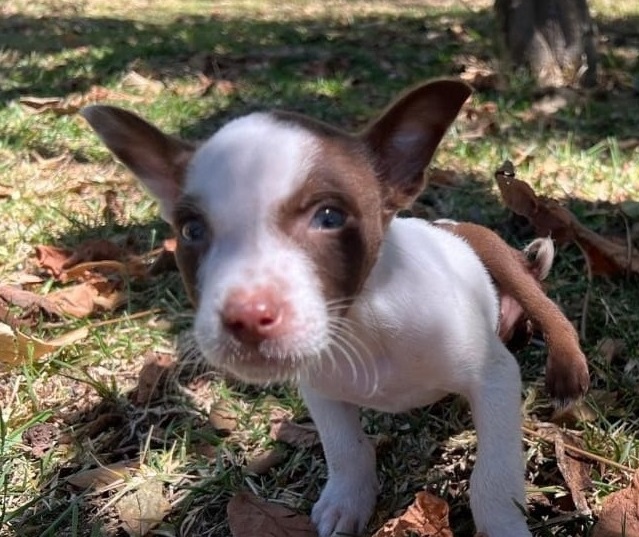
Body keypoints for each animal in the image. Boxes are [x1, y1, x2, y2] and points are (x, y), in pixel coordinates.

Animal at [82, 80, 576, 536]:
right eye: (191, 231)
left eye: (330, 217)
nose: (246, 316)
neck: (363, 322)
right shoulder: (320, 389)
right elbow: (346, 450)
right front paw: (347, 502)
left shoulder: (493, 378)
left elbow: (492, 477)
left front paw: (502, 526)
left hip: (498, 257)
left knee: (549, 311)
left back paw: (568, 371)